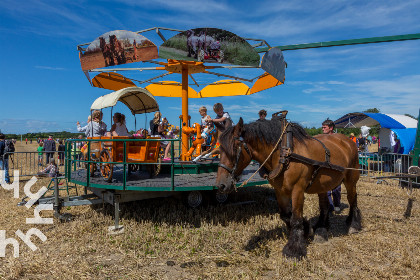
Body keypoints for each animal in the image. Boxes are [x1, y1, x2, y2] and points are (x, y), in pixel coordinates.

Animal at [217, 117, 360, 260]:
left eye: (234, 148)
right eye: (220, 150)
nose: (221, 185)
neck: (284, 153)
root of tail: (347, 141)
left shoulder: (298, 190)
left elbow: (295, 218)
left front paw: (294, 249)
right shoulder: (280, 191)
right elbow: (286, 215)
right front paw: (306, 229)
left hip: (351, 180)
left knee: (352, 199)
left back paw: (353, 224)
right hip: (323, 183)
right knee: (324, 205)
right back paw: (321, 229)